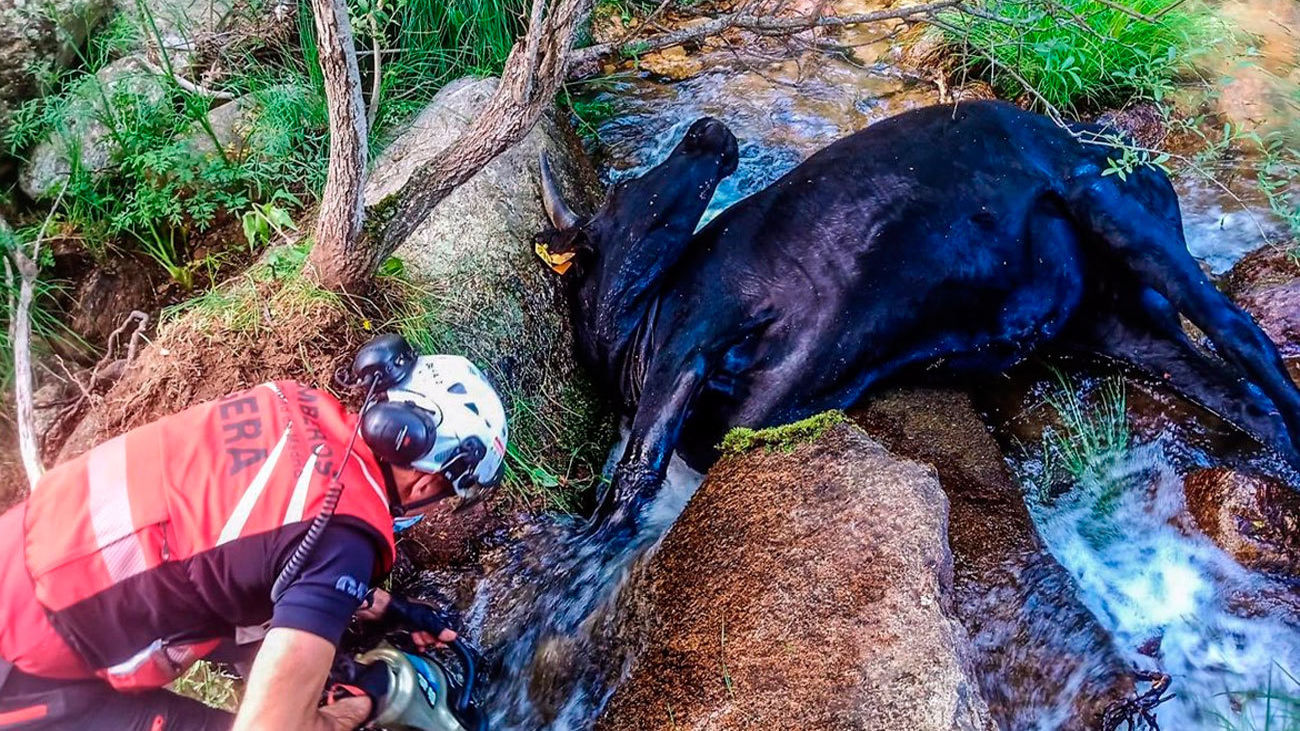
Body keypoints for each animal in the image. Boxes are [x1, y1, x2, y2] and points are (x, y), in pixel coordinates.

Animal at [534, 100, 1300, 525]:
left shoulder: (693, 335)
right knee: (1242, 398)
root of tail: (1121, 149)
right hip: (1121, 320)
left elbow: (637, 472)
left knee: (1247, 337)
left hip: (1100, 200)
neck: (636, 335)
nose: (707, 130)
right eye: (629, 188)